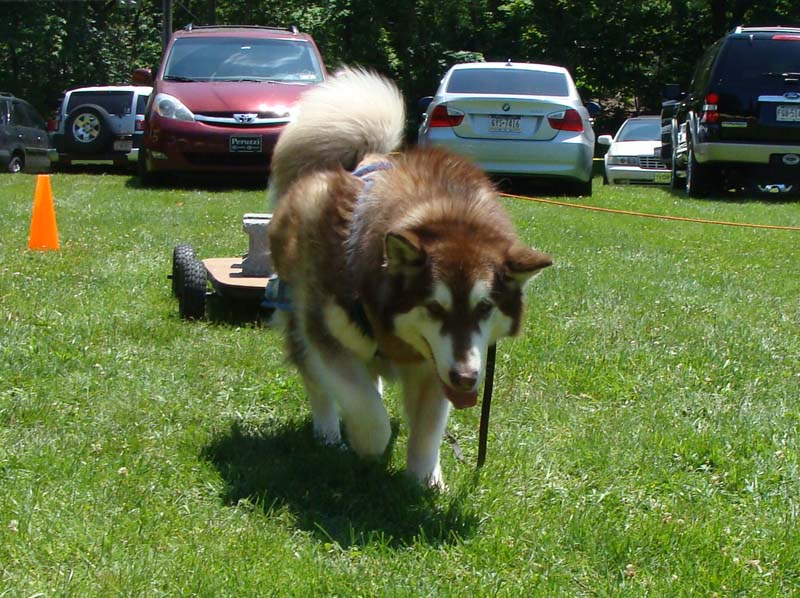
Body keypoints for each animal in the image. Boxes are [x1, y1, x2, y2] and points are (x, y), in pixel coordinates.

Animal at [266, 68, 552, 490]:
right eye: (434, 307)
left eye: (485, 308)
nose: (466, 378)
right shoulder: (324, 332)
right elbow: (368, 413)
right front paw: (366, 445)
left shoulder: (435, 365)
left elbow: (427, 430)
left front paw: (424, 479)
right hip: (297, 315)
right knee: (319, 383)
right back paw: (329, 434)